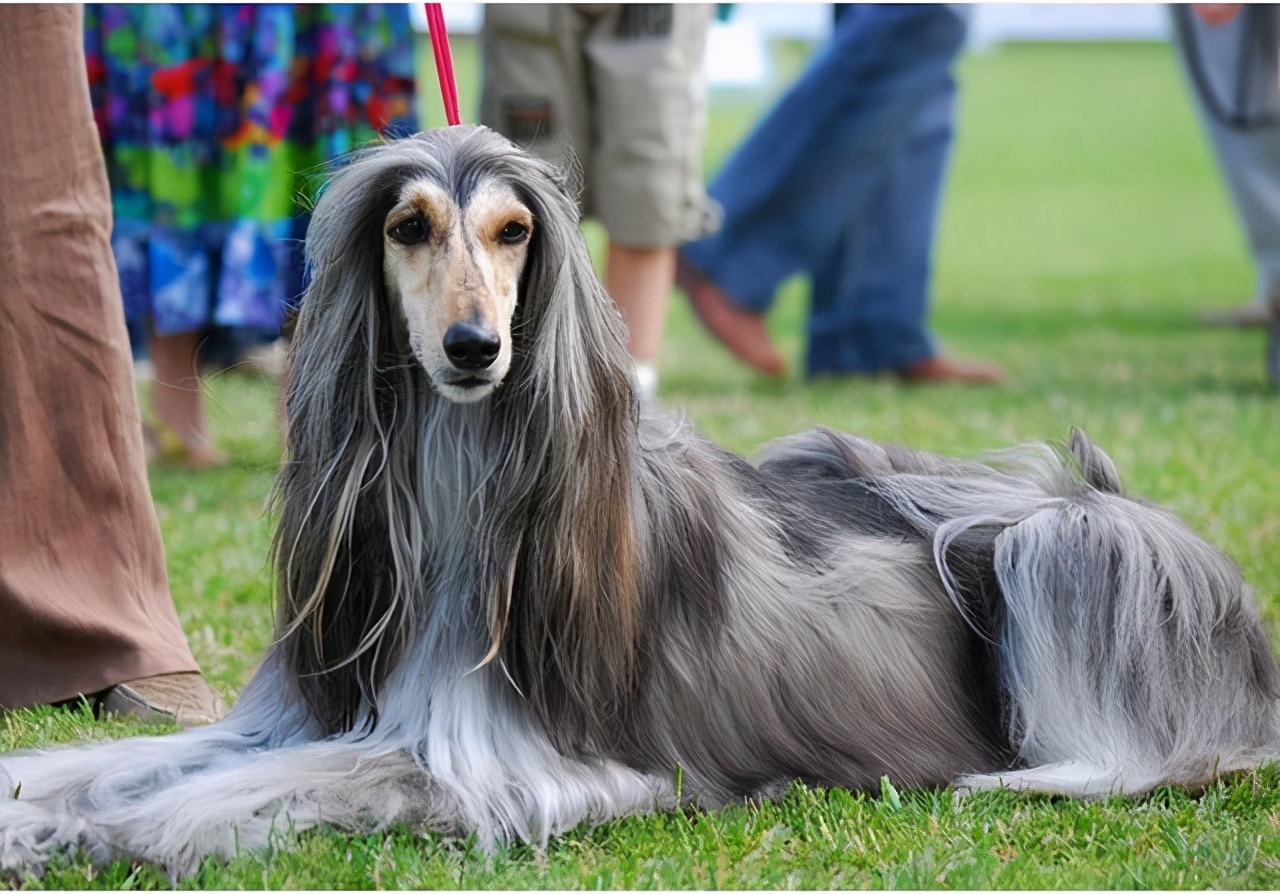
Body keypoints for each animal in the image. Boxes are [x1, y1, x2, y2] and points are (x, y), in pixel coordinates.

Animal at [2, 123, 1280, 870]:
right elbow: (126, 757)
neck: (463, 495)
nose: (473, 350)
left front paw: (125, 830)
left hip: (1074, 546)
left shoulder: (520, 765)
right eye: (408, 225)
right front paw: (46, 806)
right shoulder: (303, 710)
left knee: (1169, 750)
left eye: (513, 230)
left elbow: (262, 786)